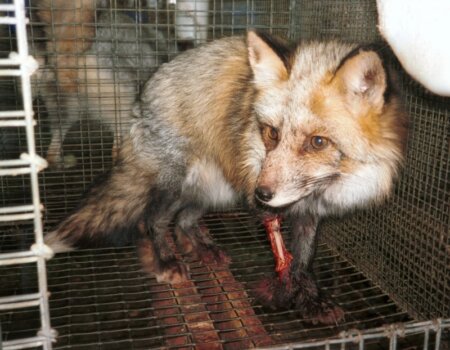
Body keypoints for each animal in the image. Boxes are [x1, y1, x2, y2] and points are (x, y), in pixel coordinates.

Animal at [44, 31, 408, 324]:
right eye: (271, 133)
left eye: (318, 142)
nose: (261, 194)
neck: (325, 187)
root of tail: (144, 93)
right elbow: (283, 251)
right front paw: (286, 287)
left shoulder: (308, 212)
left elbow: (304, 258)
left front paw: (310, 298)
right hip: (177, 183)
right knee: (154, 220)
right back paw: (167, 260)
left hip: (216, 190)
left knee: (185, 220)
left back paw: (205, 248)